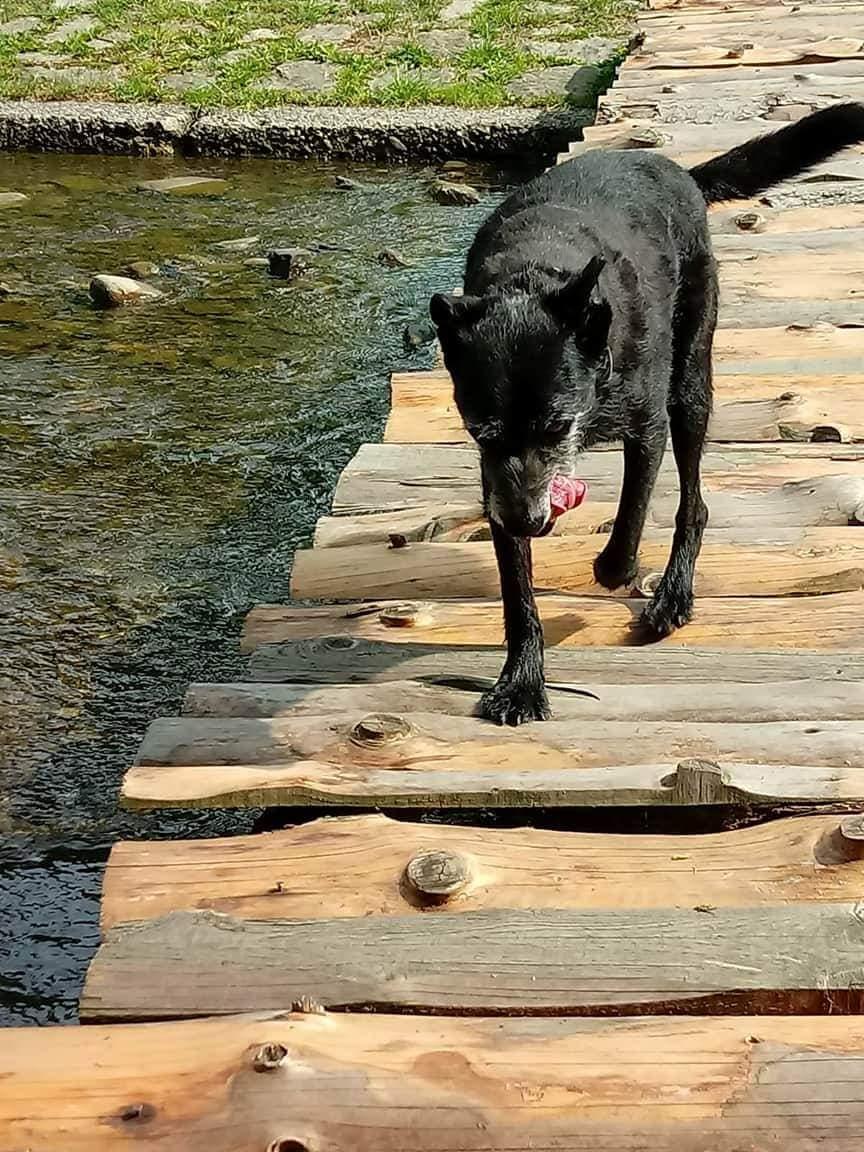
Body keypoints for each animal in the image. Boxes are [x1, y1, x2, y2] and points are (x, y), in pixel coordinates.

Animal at [431, 103, 864, 726]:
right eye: (479, 433)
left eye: (557, 426)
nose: (527, 523)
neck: (534, 276)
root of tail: (675, 169)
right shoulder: (498, 482)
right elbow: (518, 594)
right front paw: (522, 682)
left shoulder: (647, 426)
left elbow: (632, 515)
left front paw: (618, 570)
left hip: (690, 387)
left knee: (694, 503)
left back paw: (673, 594)